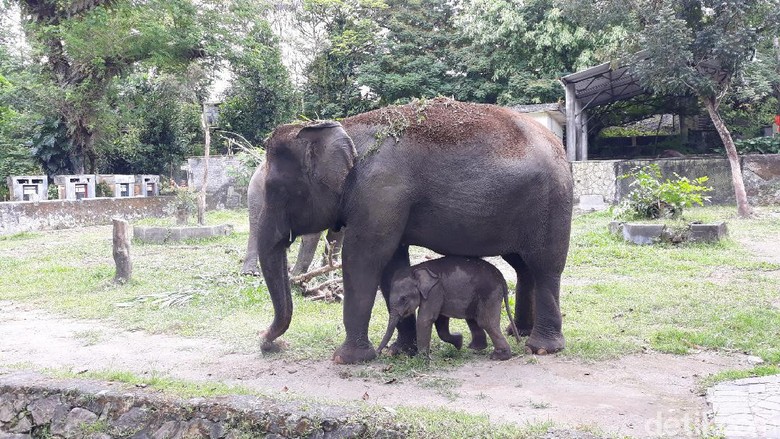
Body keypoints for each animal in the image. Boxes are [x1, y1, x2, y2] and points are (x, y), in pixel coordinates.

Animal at [376, 258, 516, 360]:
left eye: (403, 299)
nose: (378, 353)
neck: (415, 269)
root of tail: (501, 277)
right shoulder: (439, 294)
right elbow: (440, 320)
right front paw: (459, 343)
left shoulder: (435, 291)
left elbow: (425, 320)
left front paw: (422, 360)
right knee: (473, 319)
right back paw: (475, 348)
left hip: (490, 294)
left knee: (485, 322)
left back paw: (499, 356)